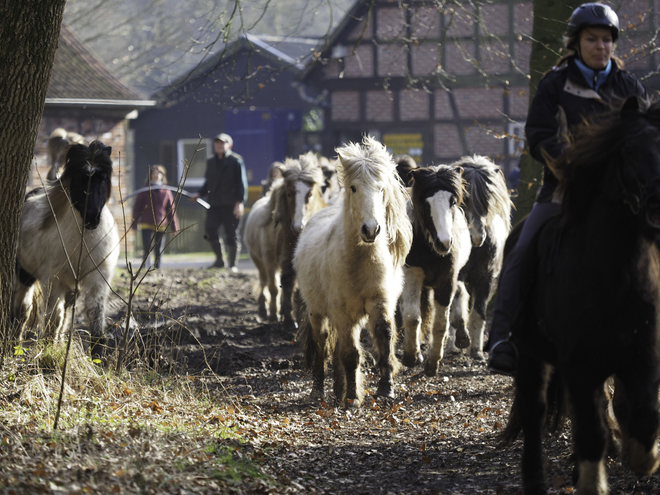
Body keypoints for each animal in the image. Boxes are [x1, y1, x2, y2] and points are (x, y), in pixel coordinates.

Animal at [244, 153, 326, 328]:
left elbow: (293, 287)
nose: (299, 226)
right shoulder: (272, 261)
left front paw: (293, 317)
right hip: (260, 261)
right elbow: (277, 286)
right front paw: (280, 316)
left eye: (309, 194)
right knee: (264, 282)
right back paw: (264, 310)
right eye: (289, 194)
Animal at [296, 136, 412, 406]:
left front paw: (385, 388)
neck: (359, 262)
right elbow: (350, 354)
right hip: (319, 313)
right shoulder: (341, 311)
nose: (371, 229)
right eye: (353, 188)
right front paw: (352, 398)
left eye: (381, 189)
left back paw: (338, 389)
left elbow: (384, 337)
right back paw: (320, 391)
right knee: (322, 346)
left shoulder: (379, 302)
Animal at [400, 164, 472, 376]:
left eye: (452, 202)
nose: (445, 242)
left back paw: (462, 335)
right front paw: (411, 356)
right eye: (425, 204)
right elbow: (412, 317)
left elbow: (440, 324)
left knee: (461, 293)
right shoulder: (412, 274)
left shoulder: (447, 279)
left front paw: (433, 363)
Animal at [448, 155, 510, 360]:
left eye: (488, 198)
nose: (477, 237)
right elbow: (458, 303)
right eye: (465, 199)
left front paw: (476, 350)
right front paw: (461, 339)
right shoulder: (456, 275)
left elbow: (479, 312)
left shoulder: (486, 278)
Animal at [502, 97, 660, 495]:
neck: (615, 275)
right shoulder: (581, 364)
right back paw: (535, 479)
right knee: (535, 410)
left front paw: (638, 458)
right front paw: (593, 480)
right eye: (629, 150)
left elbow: (642, 416)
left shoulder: (642, 358)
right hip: (530, 355)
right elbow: (592, 429)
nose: (657, 202)